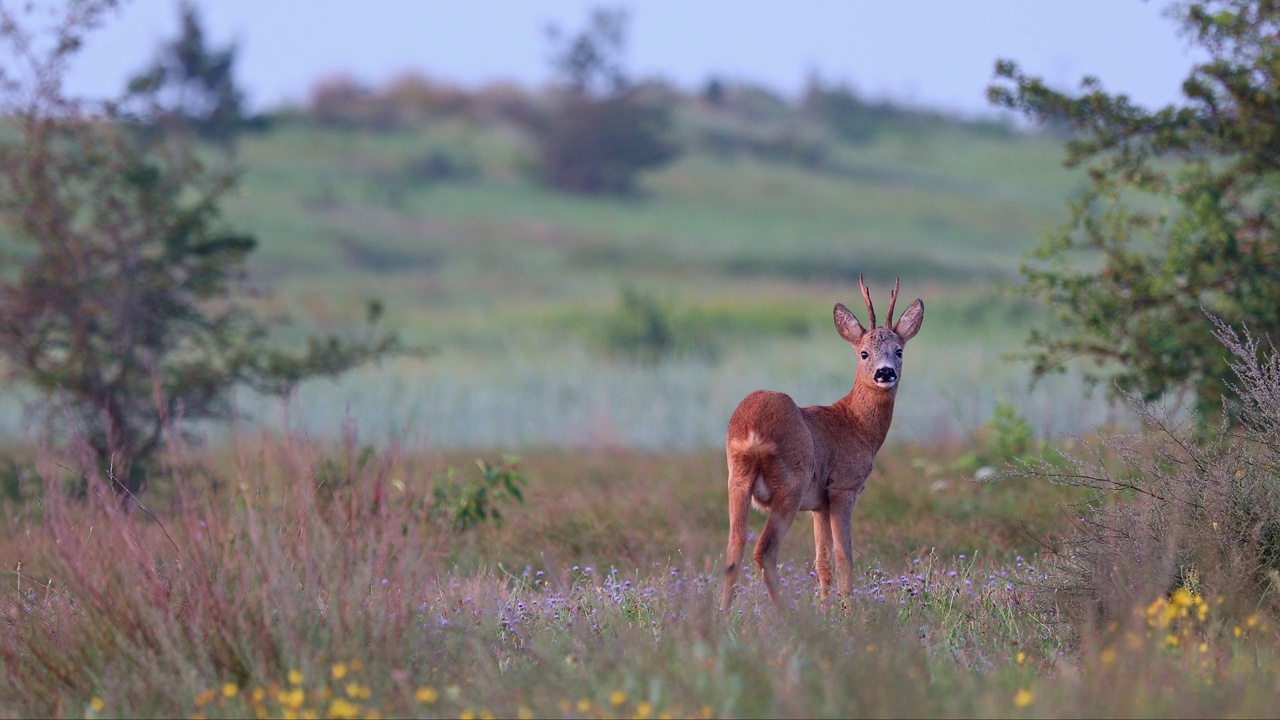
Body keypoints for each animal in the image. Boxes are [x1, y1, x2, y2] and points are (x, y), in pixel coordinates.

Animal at [721, 271, 921, 607]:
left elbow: (823, 562)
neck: (856, 424)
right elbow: (844, 558)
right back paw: (786, 614)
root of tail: (752, 429)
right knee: (765, 552)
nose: (884, 373)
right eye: (864, 353)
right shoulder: (843, 488)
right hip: (790, 484)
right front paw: (849, 611)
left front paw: (827, 610)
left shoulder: (819, 505)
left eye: (899, 350)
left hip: (737, 480)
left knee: (732, 549)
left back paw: (723, 613)